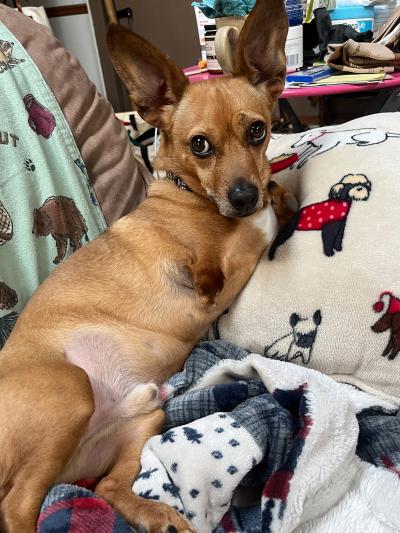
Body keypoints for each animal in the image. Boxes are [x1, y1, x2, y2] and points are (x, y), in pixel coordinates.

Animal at [0, 0, 290, 528]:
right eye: (199, 145)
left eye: (257, 131)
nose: (243, 196)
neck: (189, 195)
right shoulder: (213, 276)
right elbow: (256, 228)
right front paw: (270, 203)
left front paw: (276, 191)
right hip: (70, 389)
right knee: (17, 506)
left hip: (143, 420)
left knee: (108, 487)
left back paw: (154, 514)